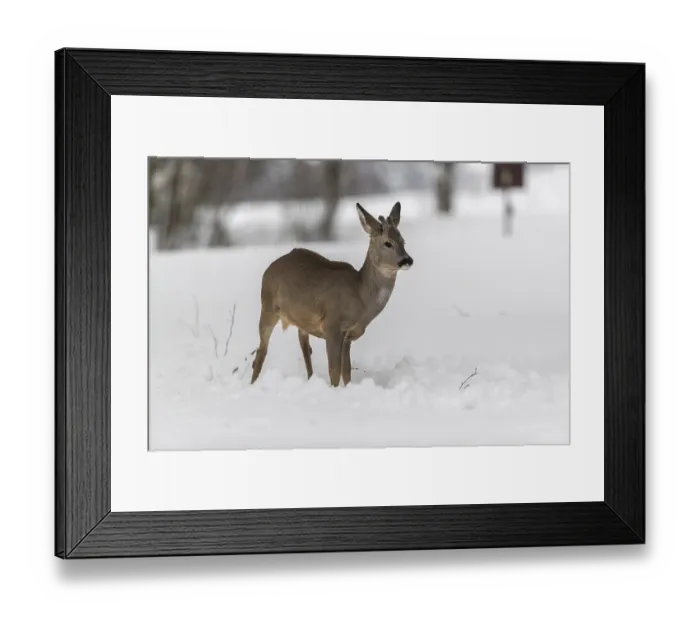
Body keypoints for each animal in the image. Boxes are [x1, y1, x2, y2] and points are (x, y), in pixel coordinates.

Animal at [250, 201, 413, 387]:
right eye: (388, 243)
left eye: (403, 241)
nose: (407, 260)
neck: (360, 297)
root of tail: (269, 269)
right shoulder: (332, 324)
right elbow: (334, 370)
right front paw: (334, 390)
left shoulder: (348, 335)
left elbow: (346, 371)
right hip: (267, 307)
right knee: (261, 351)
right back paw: (253, 384)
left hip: (300, 319)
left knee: (304, 346)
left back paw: (310, 379)